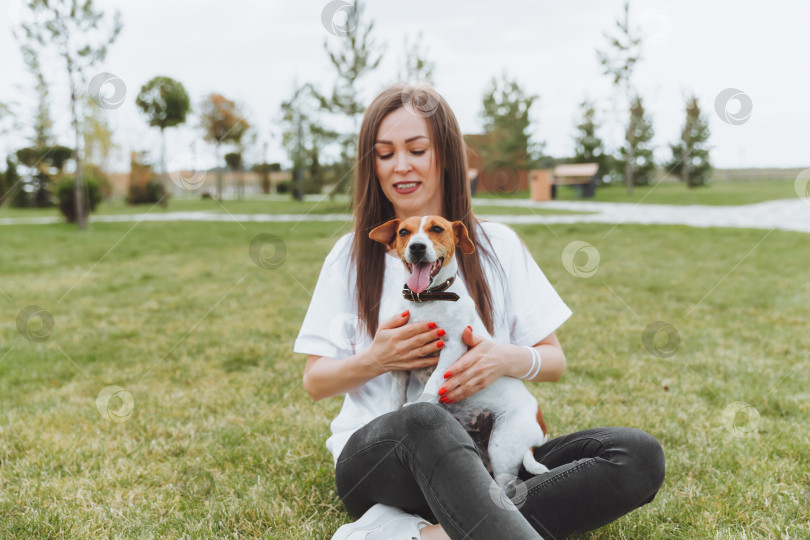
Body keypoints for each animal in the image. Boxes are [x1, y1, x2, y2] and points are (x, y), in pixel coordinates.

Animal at [368, 216, 548, 486]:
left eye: (437, 229)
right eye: (403, 232)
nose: (417, 247)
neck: (428, 300)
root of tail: (540, 432)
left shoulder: (453, 346)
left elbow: (434, 381)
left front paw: (420, 403)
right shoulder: (401, 362)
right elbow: (396, 395)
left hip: (502, 448)